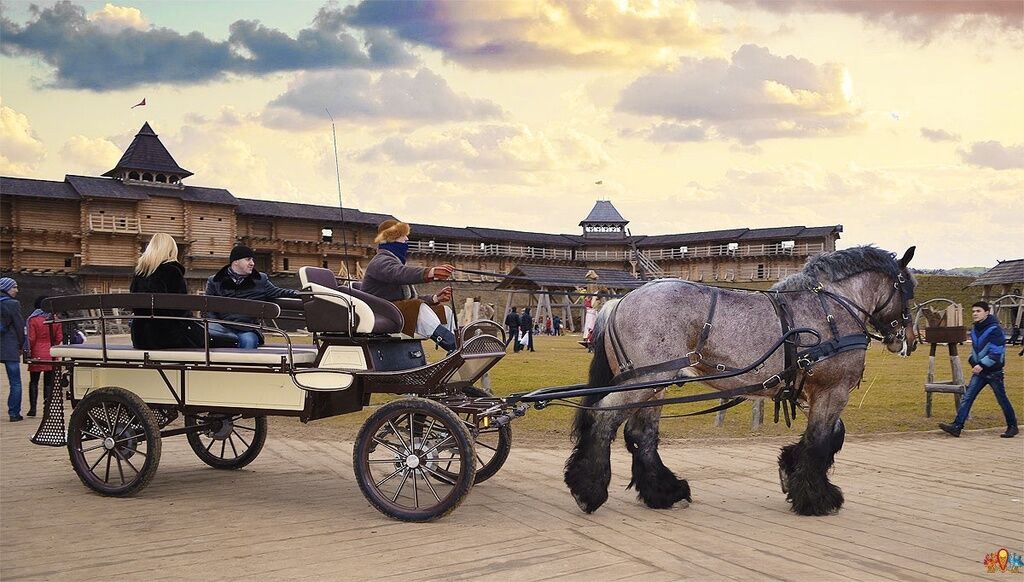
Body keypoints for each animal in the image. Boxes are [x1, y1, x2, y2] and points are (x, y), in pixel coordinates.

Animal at [569, 244, 921, 514]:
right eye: (907, 288)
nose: (909, 341)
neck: (831, 308)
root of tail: (619, 302)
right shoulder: (832, 390)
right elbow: (820, 441)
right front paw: (817, 498)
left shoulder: (812, 391)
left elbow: (831, 437)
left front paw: (789, 470)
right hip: (649, 380)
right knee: (604, 420)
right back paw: (589, 490)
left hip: (652, 385)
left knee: (642, 436)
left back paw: (664, 492)